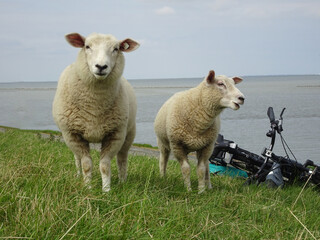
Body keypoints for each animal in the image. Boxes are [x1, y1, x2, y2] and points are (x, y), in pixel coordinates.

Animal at [52, 32, 140, 193]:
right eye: (87, 46)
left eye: (116, 49)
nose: (101, 66)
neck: (95, 105)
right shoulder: (72, 135)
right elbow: (86, 164)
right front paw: (88, 188)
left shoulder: (115, 135)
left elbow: (105, 165)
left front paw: (106, 190)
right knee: (77, 158)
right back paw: (78, 175)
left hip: (129, 133)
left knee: (122, 158)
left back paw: (122, 181)